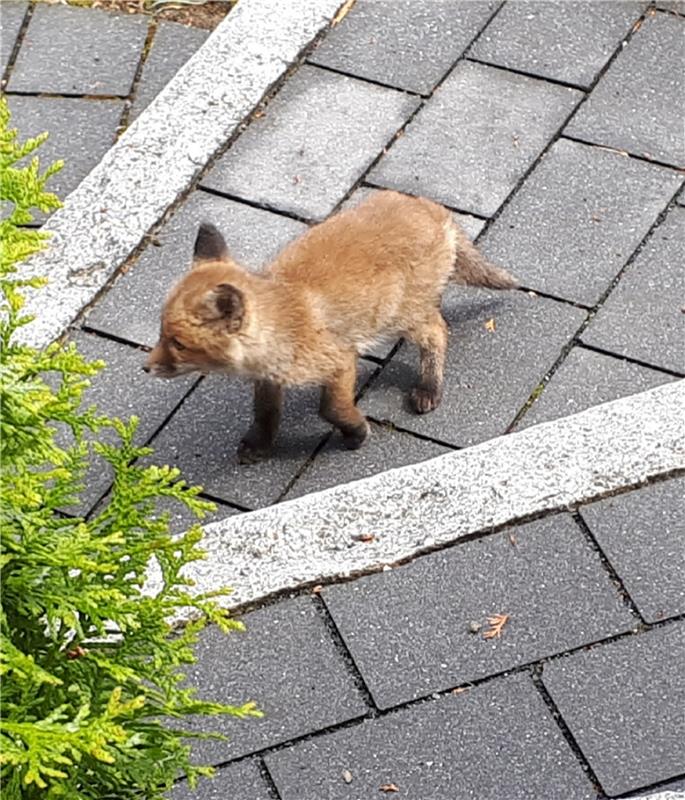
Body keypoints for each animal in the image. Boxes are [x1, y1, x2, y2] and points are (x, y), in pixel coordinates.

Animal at [146, 191, 520, 462]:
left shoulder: (340, 360)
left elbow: (331, 408)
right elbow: (265, 412)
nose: (146, 368)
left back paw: (429, 387)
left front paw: (356, 433)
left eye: (178, 343)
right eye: (161, 333)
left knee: (438, 331)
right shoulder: (270, 378)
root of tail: (432, 208)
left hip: (401, 316)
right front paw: (261, 443)